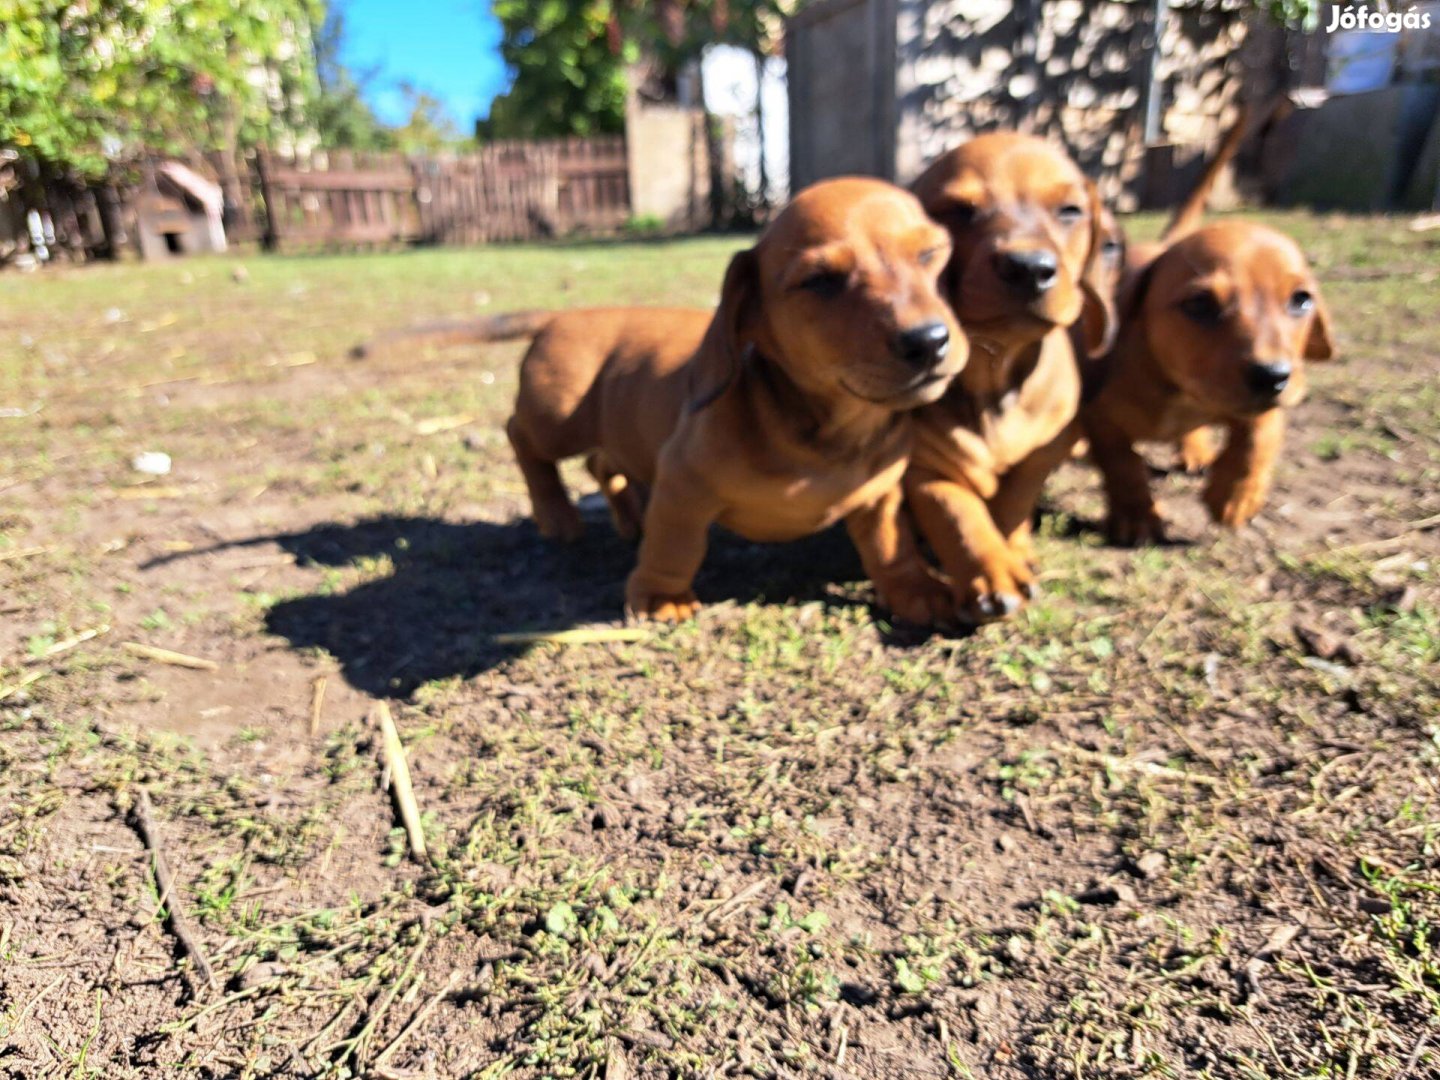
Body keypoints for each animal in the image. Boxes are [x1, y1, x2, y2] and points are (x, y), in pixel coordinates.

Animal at [506, 178, 967, 624]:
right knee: (521, 437)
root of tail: (560, 316)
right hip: (557, 417)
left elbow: (891, 544)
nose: (928, 342)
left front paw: (916, 589)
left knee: (599, 463)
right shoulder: (681, 484)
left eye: (930, 254)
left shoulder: (880, 497)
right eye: (820, 280)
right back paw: (557, 514)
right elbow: (674, 547)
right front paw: (661, 596)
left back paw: (630, 517)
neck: (832, 434)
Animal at [904, 134, 1117, 622]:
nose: (1029, 268)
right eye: (958, 210)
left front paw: (1013, 551)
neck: (993, 373)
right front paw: (991, 571)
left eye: (1070, 211)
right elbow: (956, 513)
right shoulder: (923, 466)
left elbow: (1016, 502)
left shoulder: (1045, 452)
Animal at [1077, 220, 1330, 544]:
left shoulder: (1258, 404)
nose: (1273, 376)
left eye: (1301, 300)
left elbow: (1258, 438)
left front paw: (1235, 497)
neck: (1179, 389)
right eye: (1199, 302)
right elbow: (1123, 465)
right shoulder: (1101, 418)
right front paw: (1137, 518)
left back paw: (1195, 452)